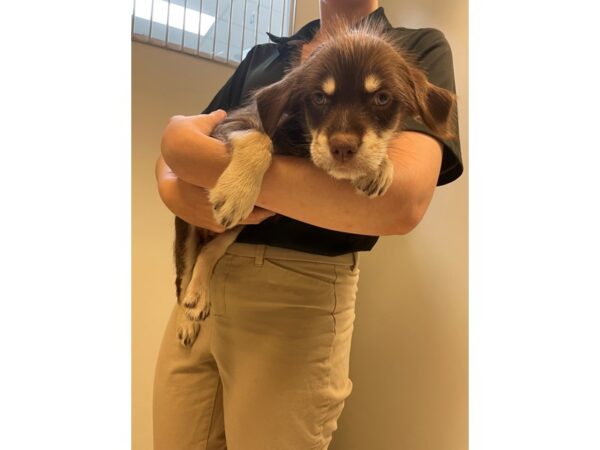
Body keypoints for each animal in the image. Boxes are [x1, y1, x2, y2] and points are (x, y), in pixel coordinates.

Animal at [171, 17, 452, 346]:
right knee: (183, 277)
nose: (342, 148)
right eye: (318, 98)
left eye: (382, 98)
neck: (299, 134)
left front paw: (379, 167)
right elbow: (259, 139)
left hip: (239, 228)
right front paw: (237, 191)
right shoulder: (229, 125)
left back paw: (199, 296)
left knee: (209, 251)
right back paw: (187, 317)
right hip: (188, 227)